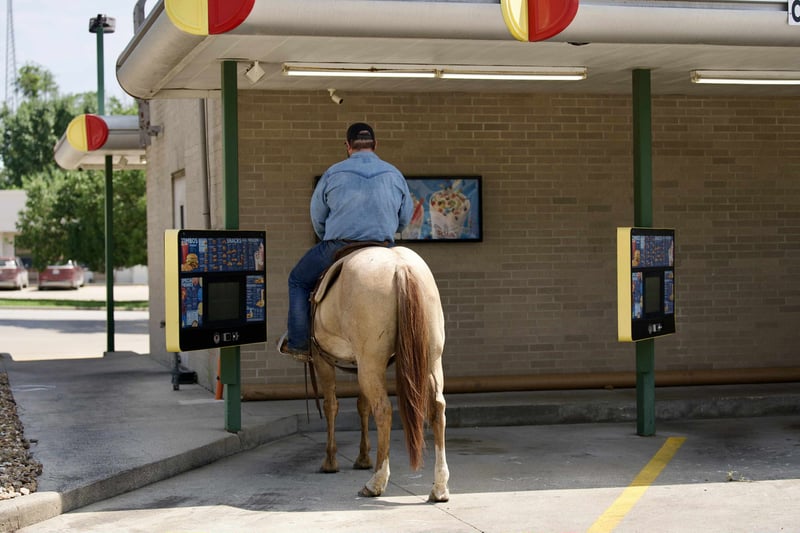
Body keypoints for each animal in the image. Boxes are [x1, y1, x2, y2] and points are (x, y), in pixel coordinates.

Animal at [310, 245, 450, 502]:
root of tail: (400, 266)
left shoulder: (322, 358)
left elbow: (331, 405)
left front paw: (330, 461)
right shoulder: (357, 364)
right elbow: (362, 405)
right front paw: (362, 457)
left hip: (370, 363)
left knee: (383, 410)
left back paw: (376, 482)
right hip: (431, 359)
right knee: (437, 408)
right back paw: (439, 487)